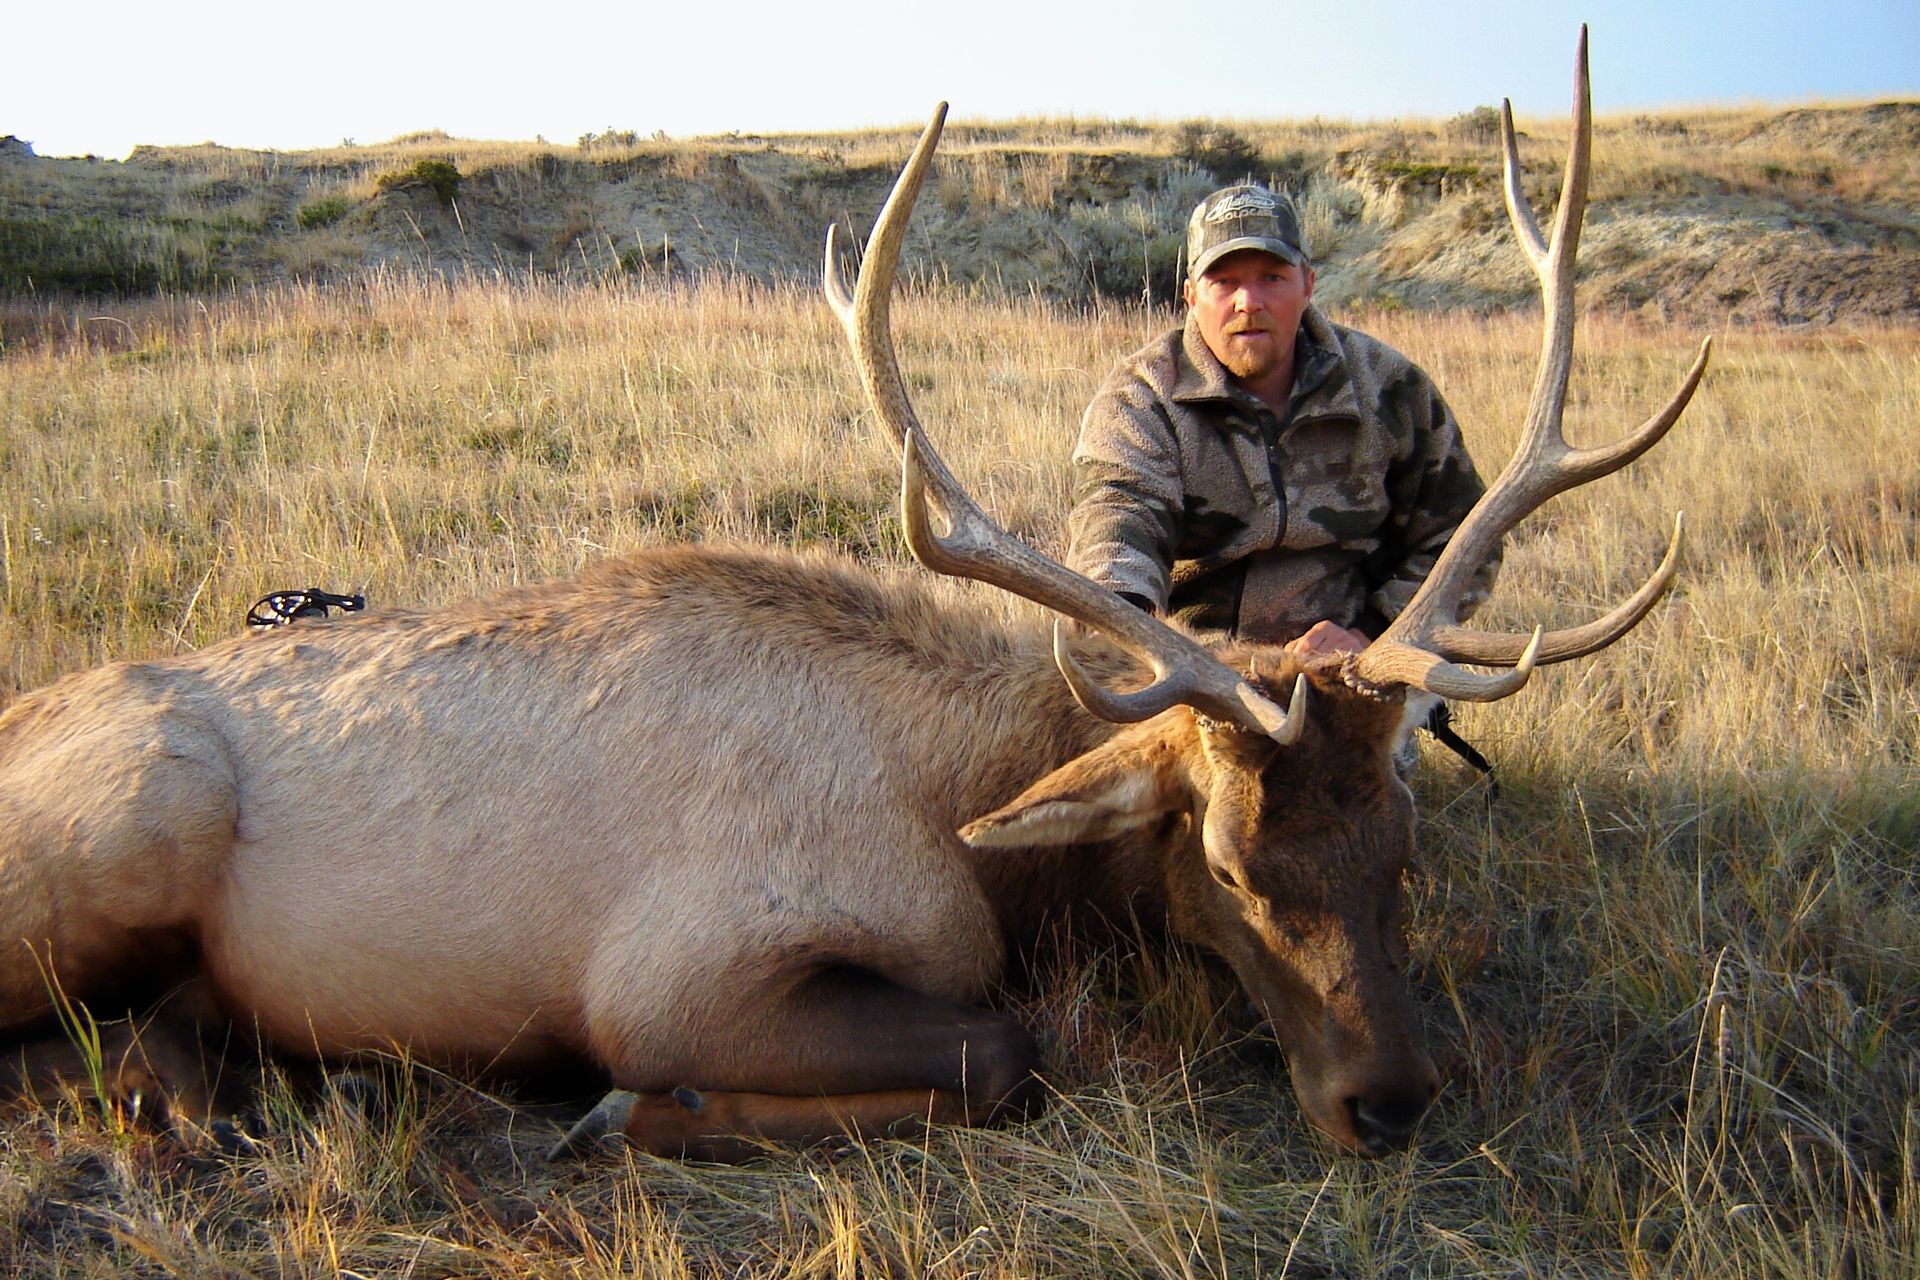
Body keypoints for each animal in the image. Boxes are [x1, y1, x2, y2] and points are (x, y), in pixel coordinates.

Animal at [0, 31, 1705, 1160]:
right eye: (1225, 863)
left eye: (1400, 851)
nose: (1386, 1101)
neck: (964, 814)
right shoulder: (678, 978)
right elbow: (1005, 1048)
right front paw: (638, 1113)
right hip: (131, 824)